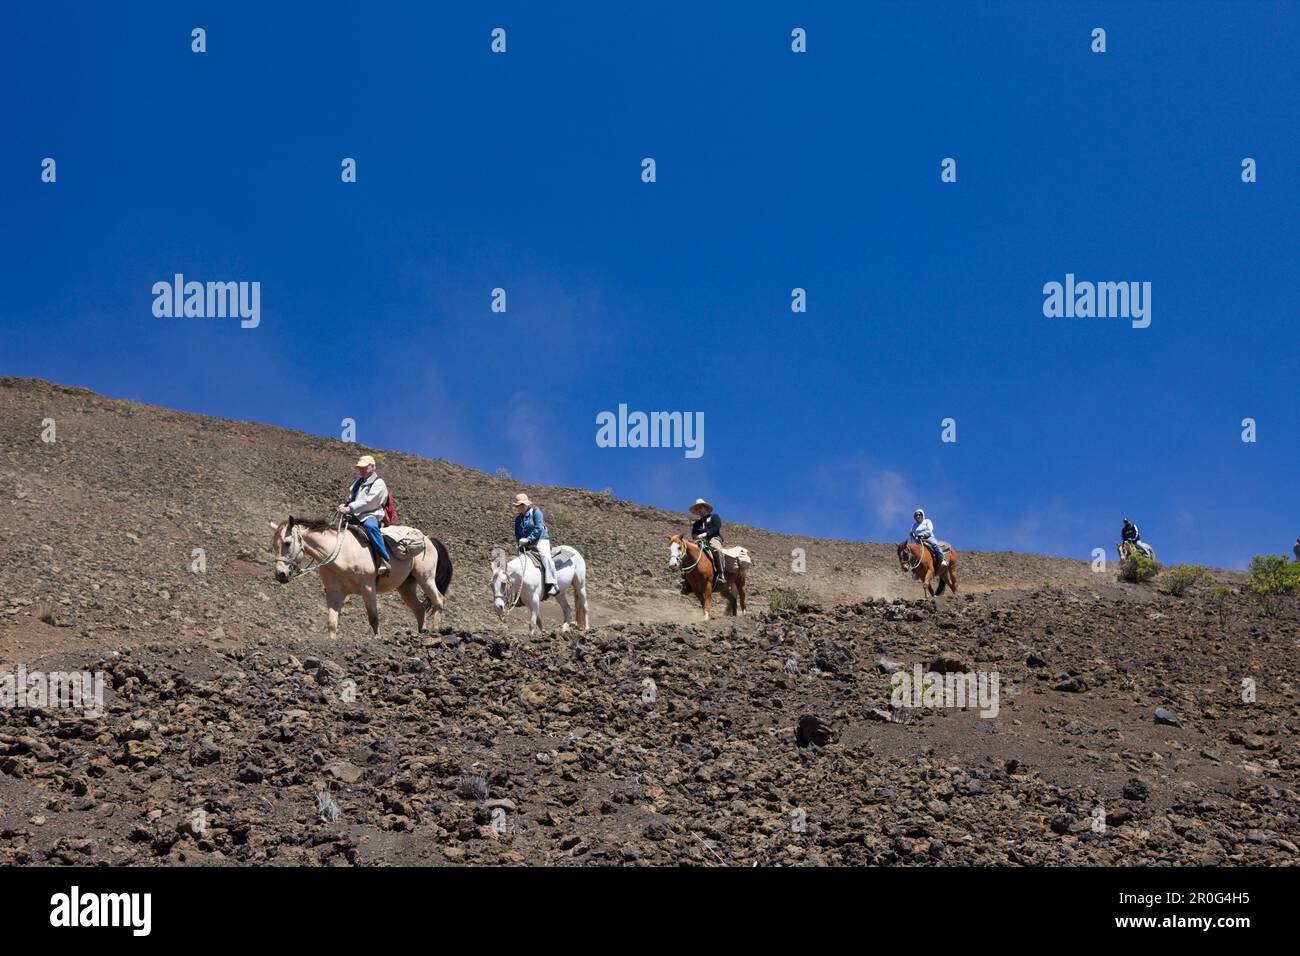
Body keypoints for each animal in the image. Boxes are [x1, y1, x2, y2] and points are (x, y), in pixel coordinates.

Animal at [269, 515, 452, 634]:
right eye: (274, 545)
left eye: (287, 543)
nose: (280, 574)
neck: (342, 554)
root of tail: (429, 539)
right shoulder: (335, 593)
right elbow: (332, 623)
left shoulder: (368, 588)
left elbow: (373, 619)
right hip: (406, 586)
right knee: (420, 609)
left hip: (425, 577)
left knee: (438, 600)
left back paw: (435, 632)